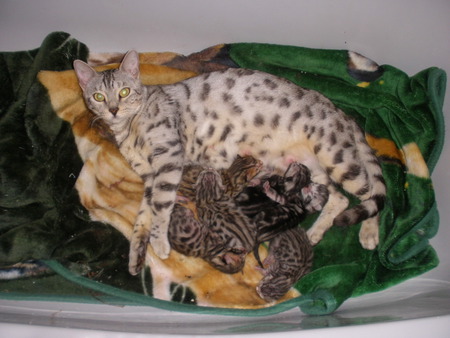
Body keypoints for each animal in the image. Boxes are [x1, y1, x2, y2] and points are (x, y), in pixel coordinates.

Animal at [74, 51, 386, 276]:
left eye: (124, 92)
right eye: (99, 96)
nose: (113, 109)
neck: (128, 130)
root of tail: (342, 112)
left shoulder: (168, 158)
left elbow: (161, 206)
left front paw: (160, 242)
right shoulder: (149, 176)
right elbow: (143, 216)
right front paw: (137, 253)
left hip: (336, 158)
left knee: (373, 194)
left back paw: (370, 233)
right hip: (308, 168)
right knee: (340, 199)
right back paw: (315, 233)